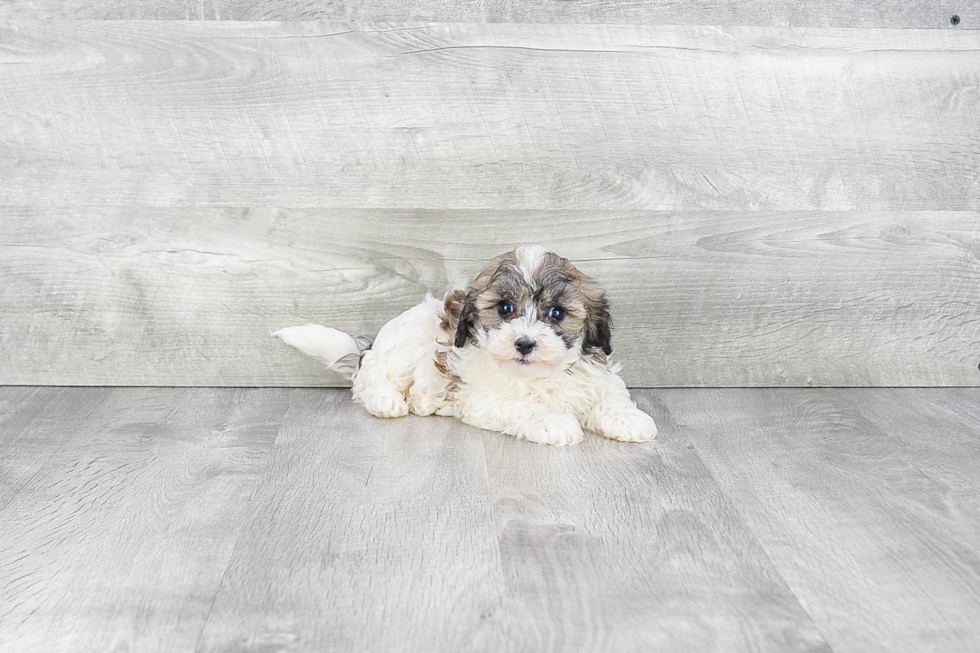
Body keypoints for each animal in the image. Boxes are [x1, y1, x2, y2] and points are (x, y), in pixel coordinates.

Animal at [274, 247, 660, 446]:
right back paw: (388, 401)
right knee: (372, 380)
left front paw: (628, 419)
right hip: (402, 347)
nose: (524, 343)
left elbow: (610, 396)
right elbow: (522, 405)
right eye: (505, 308)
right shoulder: (482, 397)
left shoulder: (595, 376)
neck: (538, 377)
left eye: (556, 313)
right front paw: (553, 422)